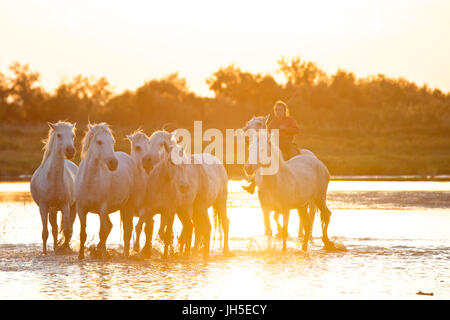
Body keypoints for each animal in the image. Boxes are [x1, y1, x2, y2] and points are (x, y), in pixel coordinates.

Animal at [30, 121, 78, 254]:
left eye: (72, 136)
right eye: (59, 135)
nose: (70, 151)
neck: (53, 180)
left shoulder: (66, 206)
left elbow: (66, 230)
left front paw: (65, 249)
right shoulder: (43, 207)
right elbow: (45, 232)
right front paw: (45, 252)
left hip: (72, 208)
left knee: (69, 228)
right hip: (53, 210)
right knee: (54, 229)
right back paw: (55, 248)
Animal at [75, 122, 135, 260]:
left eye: (112, 141)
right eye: (99, 141)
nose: (113, 163)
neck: (90, 182)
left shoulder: (102, 209)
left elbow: (102, 232)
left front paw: (103, 256)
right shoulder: (81, 210)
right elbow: (82, 234)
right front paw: (81, 256)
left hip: (128, 206)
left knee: (127, 231)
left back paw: (125, 255)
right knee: (111, 226)